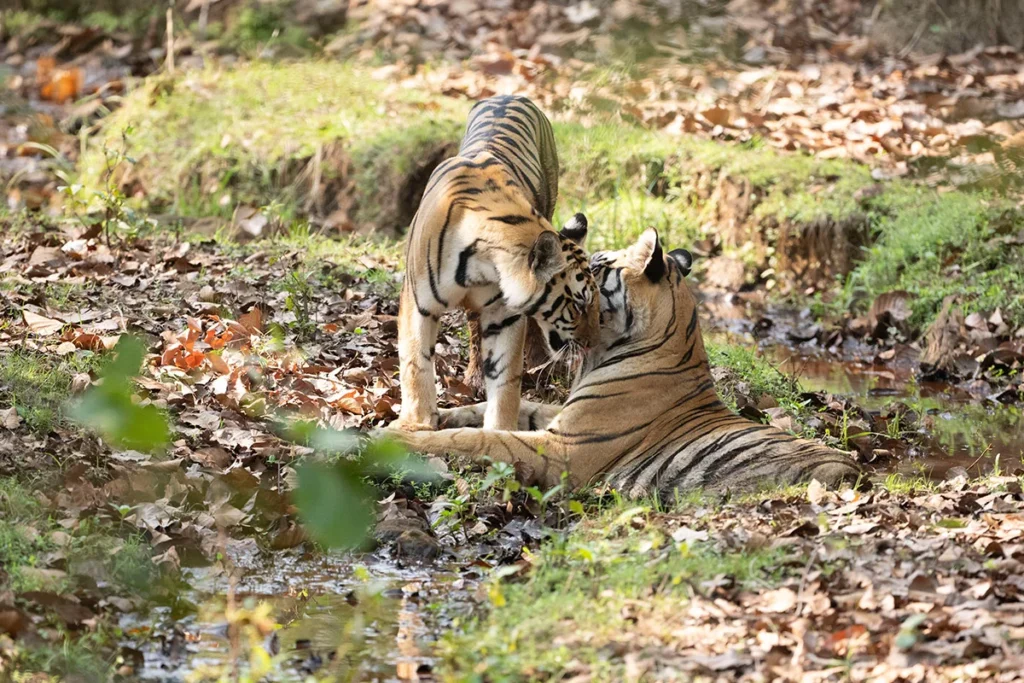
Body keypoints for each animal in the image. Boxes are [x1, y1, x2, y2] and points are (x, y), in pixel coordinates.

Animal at [387, 228, 861, 497]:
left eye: (595, 270)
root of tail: (856, 472)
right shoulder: (562, 419)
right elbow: (507, 409)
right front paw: (430, 417)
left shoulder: (566, 449)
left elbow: (480, 440)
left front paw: (401, 439)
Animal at [394, 95, 600, 433]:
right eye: (580, 303)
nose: (593, 344)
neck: (482, 264)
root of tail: (510, 95)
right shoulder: (417, 304)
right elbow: (416, 363)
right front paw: (417, 424)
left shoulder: (506, 315)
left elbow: (505, 378)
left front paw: (499, 430)